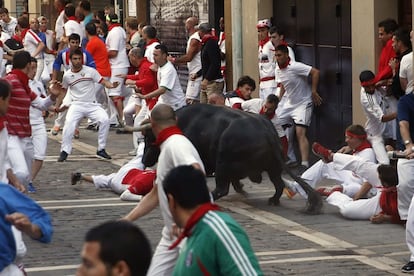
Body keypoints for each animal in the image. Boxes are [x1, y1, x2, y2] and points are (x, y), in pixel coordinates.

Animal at [141, 104, 322, 213]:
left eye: (150, 139)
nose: (144, 160)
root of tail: (266, 131)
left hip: (222, 164)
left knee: (222, 188)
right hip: (273, 167)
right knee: (278, 184)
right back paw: (272, 200)